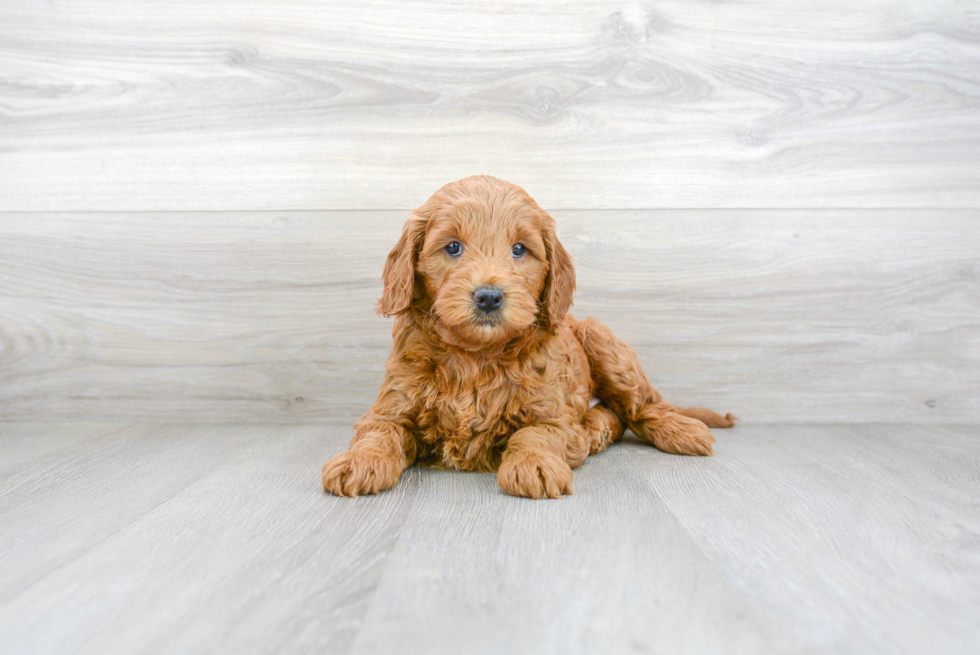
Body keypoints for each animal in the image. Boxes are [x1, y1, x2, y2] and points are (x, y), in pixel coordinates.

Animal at [322, 177, 736, 500]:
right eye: (453, 246)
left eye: (519, 249)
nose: (489, 296)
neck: (475, 357)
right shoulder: (392, 406)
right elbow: (378, 433)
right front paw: (358, 462)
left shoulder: (552, 413)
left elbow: (534, 434)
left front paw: (533, 465)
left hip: (602, 340)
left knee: (641, 406)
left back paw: (675, 430)